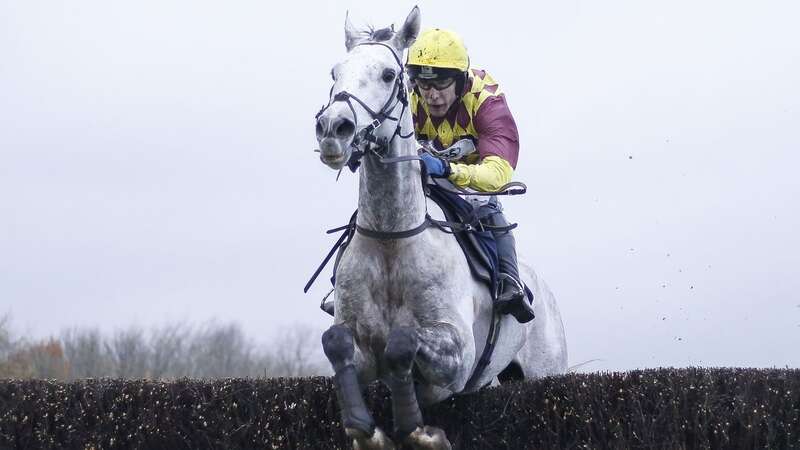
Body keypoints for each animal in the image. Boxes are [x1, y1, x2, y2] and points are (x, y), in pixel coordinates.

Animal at [312, 7, 568, 450]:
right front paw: (366, 428)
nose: (333, 129)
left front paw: (417, 429)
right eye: (335, 72)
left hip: (545, 370)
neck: (392, 240)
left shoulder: (457, 355)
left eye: (387, 74)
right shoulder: (356, 347)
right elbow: (338, 342)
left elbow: (402, 342)